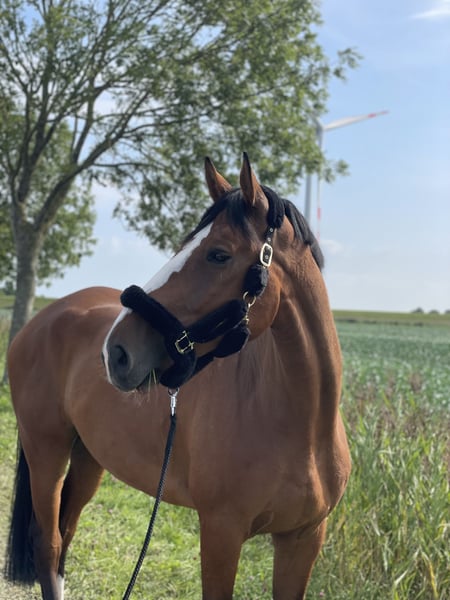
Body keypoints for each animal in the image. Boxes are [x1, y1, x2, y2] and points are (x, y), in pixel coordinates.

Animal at [5, 153, 351, 599]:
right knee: (47, 544)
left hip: (88, 458)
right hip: (46, 450)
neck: (301, 426)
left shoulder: (303, 539)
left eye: (218, 255)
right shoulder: (221, 533)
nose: (116, 352)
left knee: (65, 535)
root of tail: (42, 318)